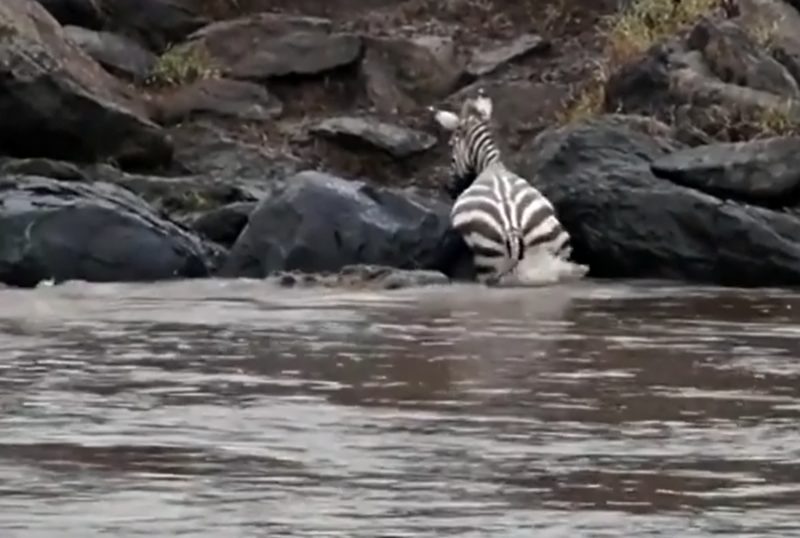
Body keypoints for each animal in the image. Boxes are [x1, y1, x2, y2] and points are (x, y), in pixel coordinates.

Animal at [430, 91, 588, 286]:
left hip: (487, 262)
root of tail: (512, 227)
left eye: (452, 145)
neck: (492, 166)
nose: (450, 189)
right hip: (556, 244)